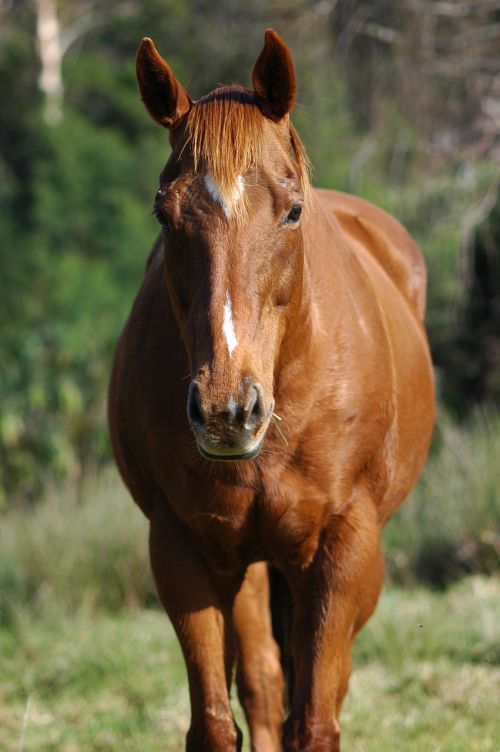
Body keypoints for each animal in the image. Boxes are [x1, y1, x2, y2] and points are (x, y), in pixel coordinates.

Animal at [108, 27, 434, 752]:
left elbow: (314, 719)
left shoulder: (344, 549)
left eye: (292, 212)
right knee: (261, 682)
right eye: (163, 214)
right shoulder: (181, 549)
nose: (228, 411)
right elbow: (218, 720)